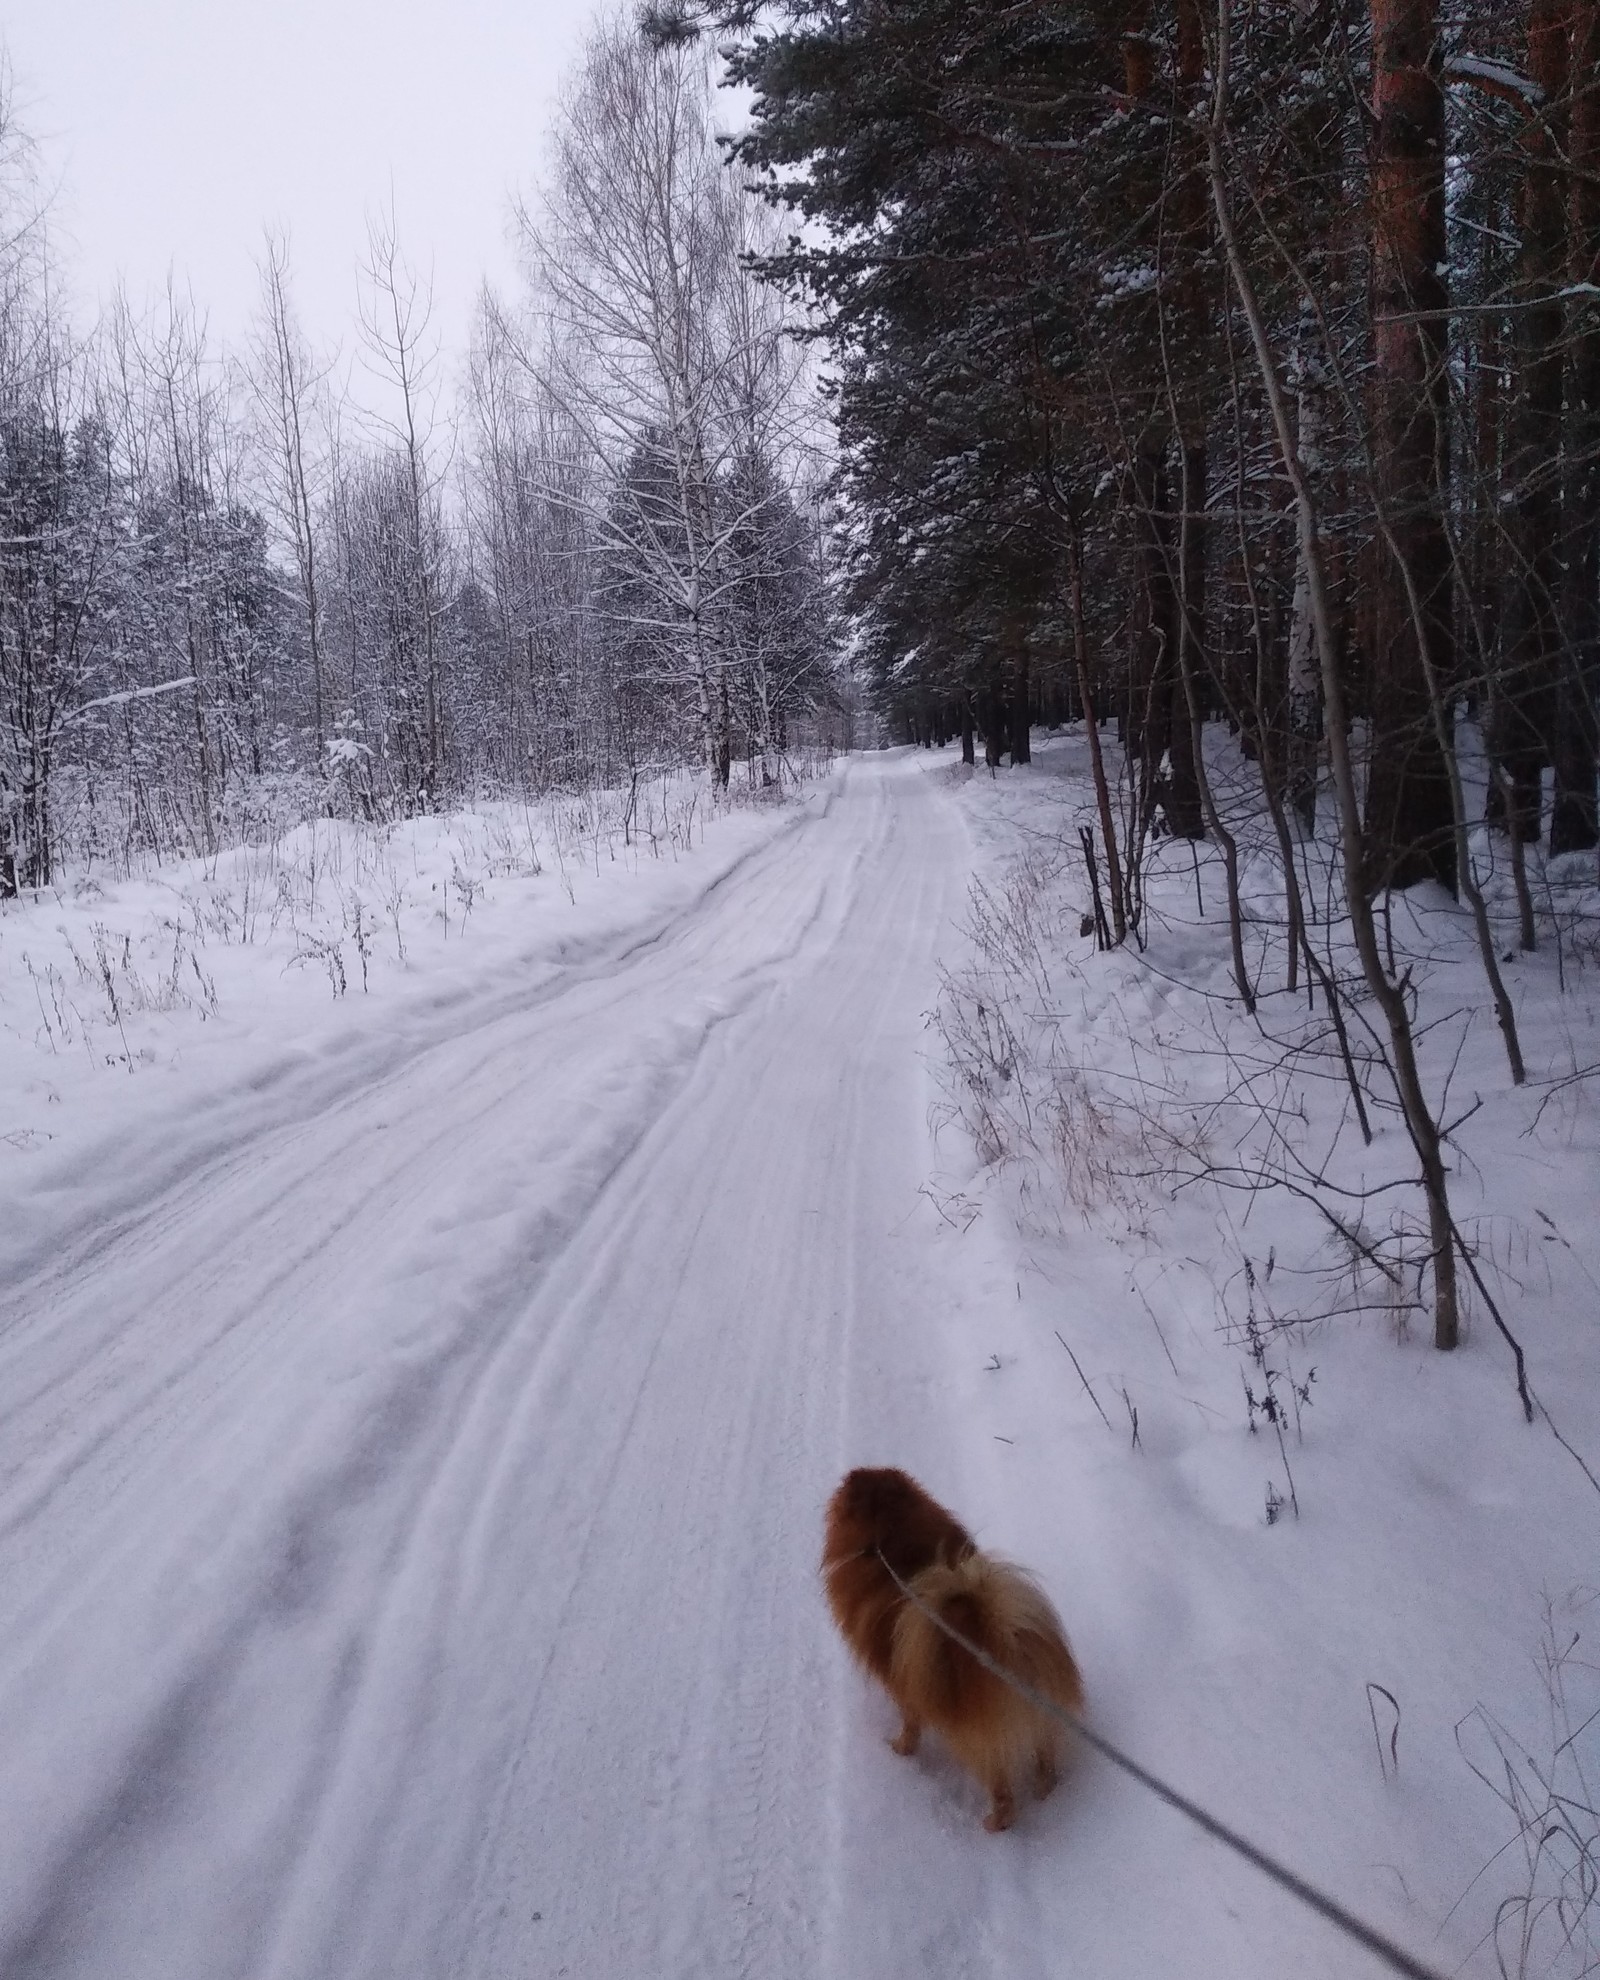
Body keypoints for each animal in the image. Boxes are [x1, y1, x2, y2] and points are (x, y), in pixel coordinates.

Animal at [819, 1465, 1085, 1829]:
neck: (887, 1540)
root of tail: (1003, 1646)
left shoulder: (907, 1689)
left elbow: (911, 1725)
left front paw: (900, 1749)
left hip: (977, 1744)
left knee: (1002, 1793)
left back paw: (994, 1824)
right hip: (1042, 1719)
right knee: (1046, 1760)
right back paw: (1046, 1793)